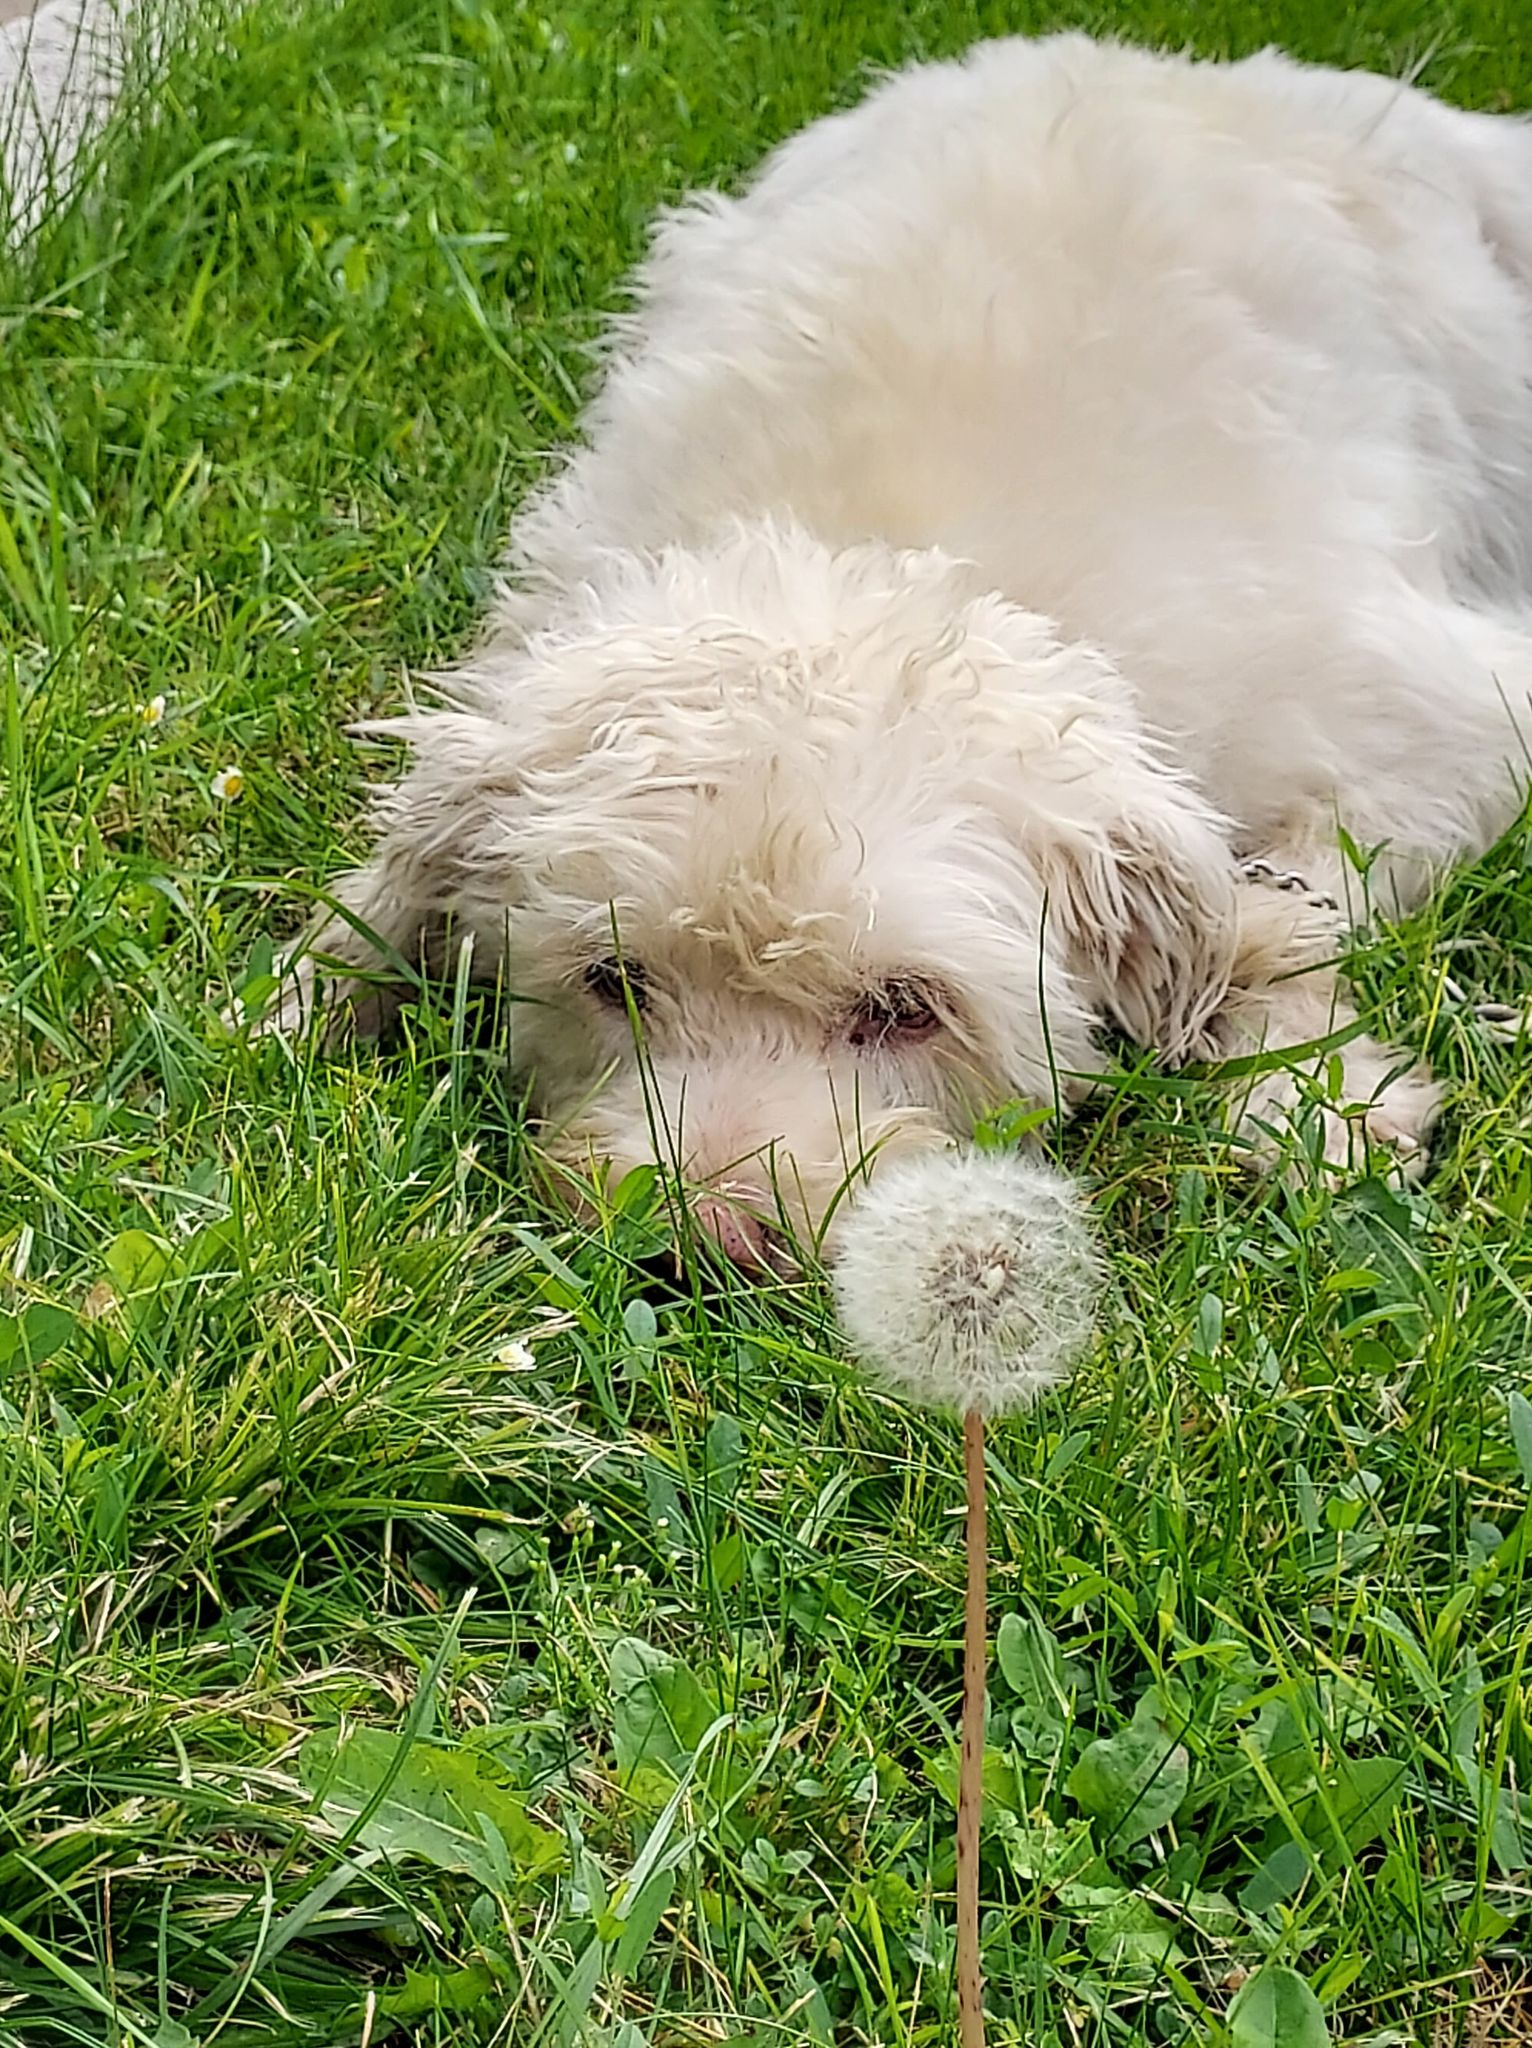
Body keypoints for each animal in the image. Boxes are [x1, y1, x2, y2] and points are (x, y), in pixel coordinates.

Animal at [274, 36, 1532, 1261]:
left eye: (904, 1006)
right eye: (613, 980)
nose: (705, 1240)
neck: (901, 570)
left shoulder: (1448, 719)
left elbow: (1290, 897)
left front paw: (1309, 1092)